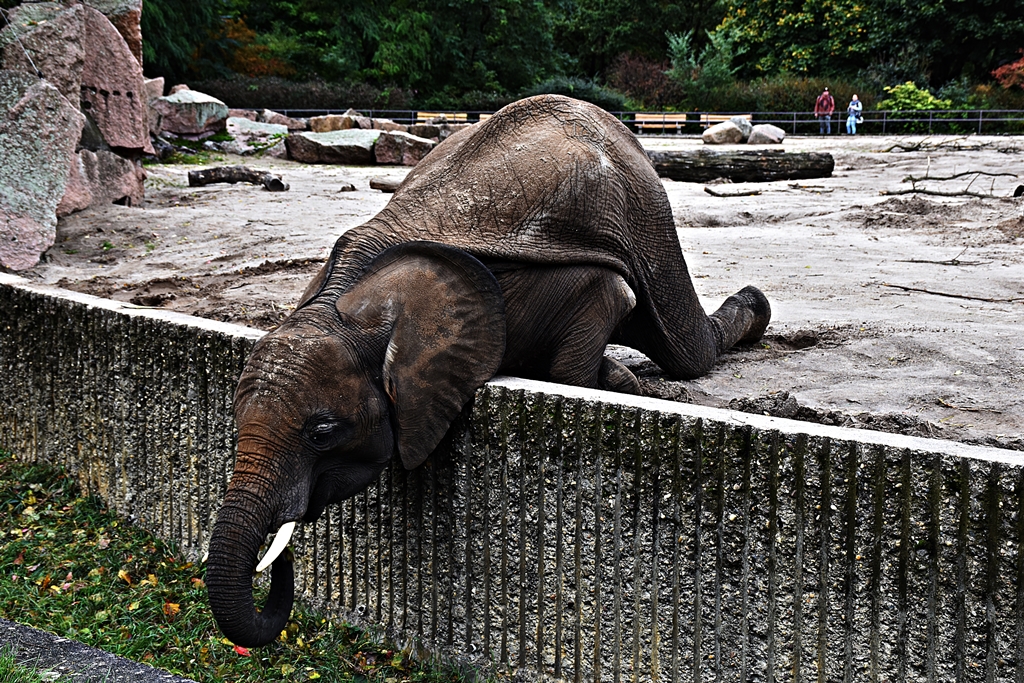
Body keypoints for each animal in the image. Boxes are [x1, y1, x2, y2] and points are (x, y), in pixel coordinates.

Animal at [206, 94, 771, 647]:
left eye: (321, 433)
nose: (279, 554)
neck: (348, 303)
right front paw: (619, 378)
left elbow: (608, 297)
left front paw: (618, 381)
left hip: (648, 212)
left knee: (686, 348)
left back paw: (753, 306)